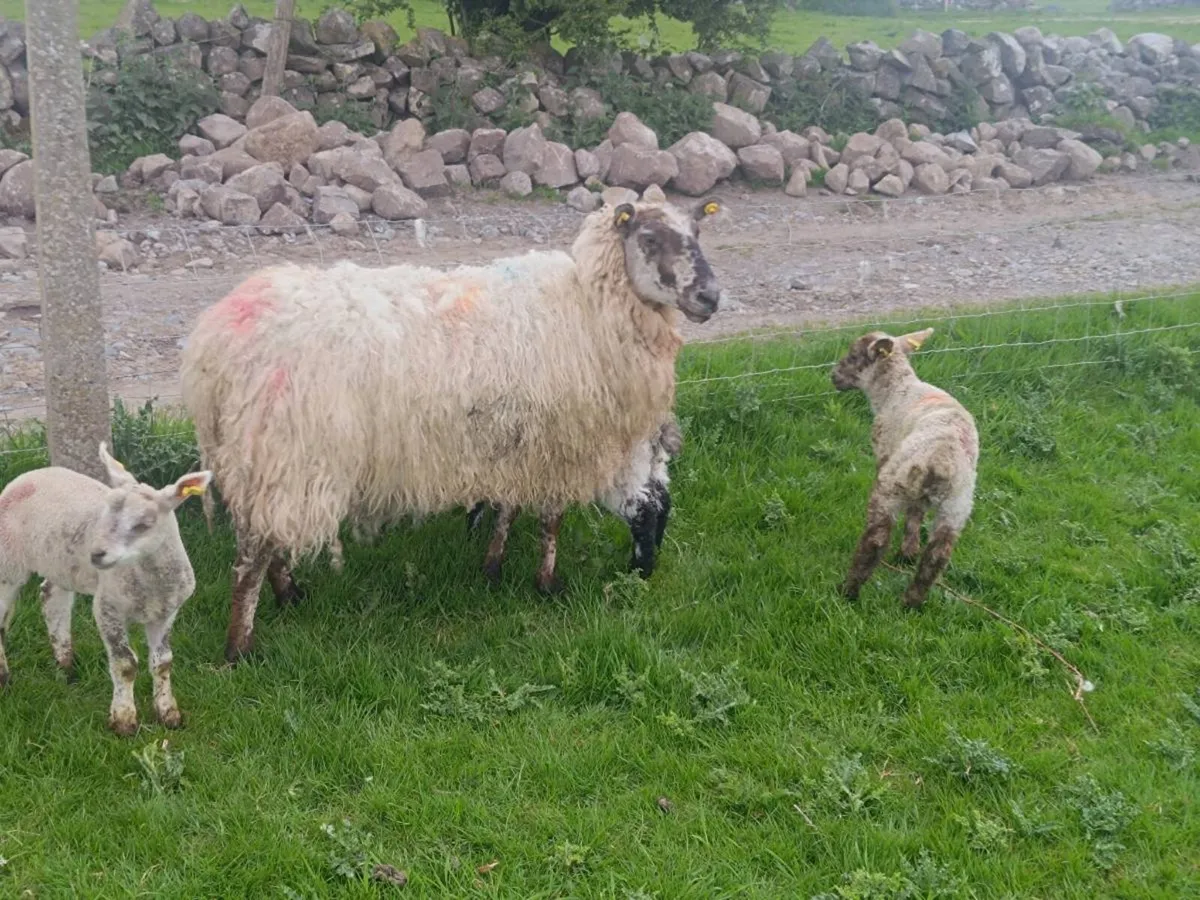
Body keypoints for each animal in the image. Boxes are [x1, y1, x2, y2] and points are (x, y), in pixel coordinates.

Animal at [0, 444, 212, 735]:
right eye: (104, 513)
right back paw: (4, 679)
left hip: (61, 563)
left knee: (52, 599)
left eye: (143, 524)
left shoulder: (167, 610)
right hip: (9, 560)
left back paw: (66, 666)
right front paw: (124, 721)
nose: (96, 554)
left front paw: (169, 714)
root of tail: (29, 474)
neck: (150, 581)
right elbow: (125, 664)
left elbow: (163, 662)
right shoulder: (108, 606)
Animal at [830, 327, 979, 608]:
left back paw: (848, 592)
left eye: (853, 355)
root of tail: (943, 459)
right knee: (938, 554)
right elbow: (915, 515)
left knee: (876, 539)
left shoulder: (884, 452)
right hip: (957, 504)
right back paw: (911, 603)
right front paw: (909, 552)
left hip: (893, 483)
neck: (896, 389)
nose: (833, 376)